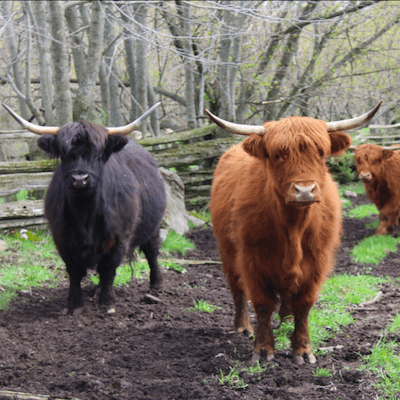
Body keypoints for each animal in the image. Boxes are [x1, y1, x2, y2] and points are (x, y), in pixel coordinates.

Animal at [3, 101, 166, 314]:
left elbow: (108, 269)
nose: (80, 178)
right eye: (64, 155)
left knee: (152, 252)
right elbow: (74, 272)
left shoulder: (118, 238)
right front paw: (75, 304)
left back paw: (156, 285)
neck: (85, 214)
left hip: (154, 227)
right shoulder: (62, 238)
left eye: (98, 154)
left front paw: (107, 303)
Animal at [206, 104, 382, 366]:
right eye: (278, 155)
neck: (294, 227)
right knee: (237, 287)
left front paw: (302, 349)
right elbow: (262, 303)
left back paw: (286, 318)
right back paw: (243, 326)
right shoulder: (252, 260)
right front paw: (263, 349)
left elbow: (304, 304)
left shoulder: (318, 261)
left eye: (321, 152)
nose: (305, 190)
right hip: (227, 250)